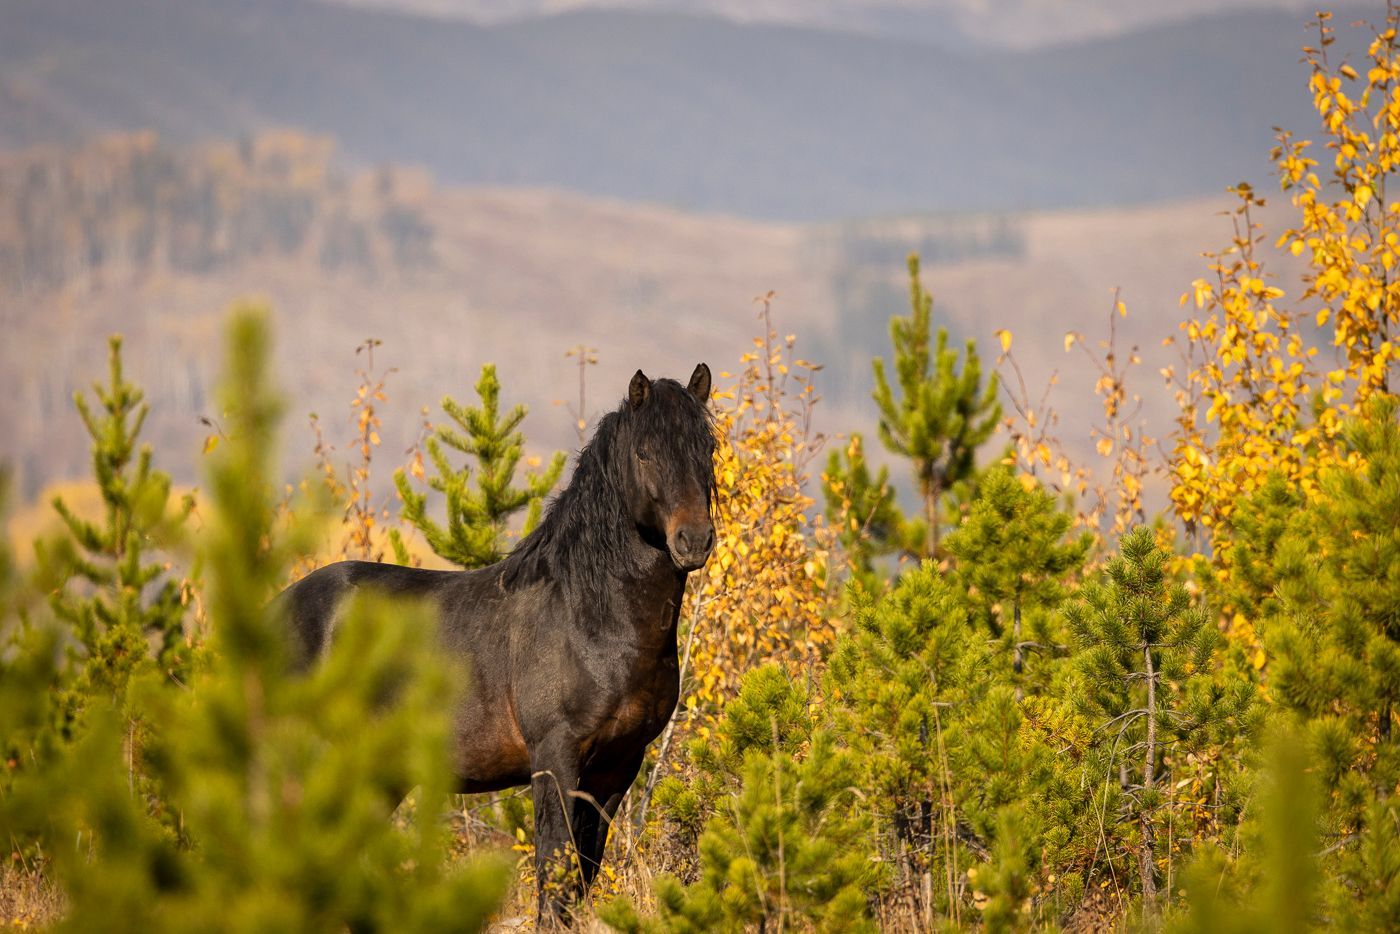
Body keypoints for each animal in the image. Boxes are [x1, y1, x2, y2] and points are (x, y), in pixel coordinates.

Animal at [275, 364, 716, 922]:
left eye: (708, 448)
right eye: (645, 452)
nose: (694, 540)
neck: (588, 615)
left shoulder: (618, 767)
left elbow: (582, 873)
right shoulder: (556, 758)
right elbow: (554, 867)